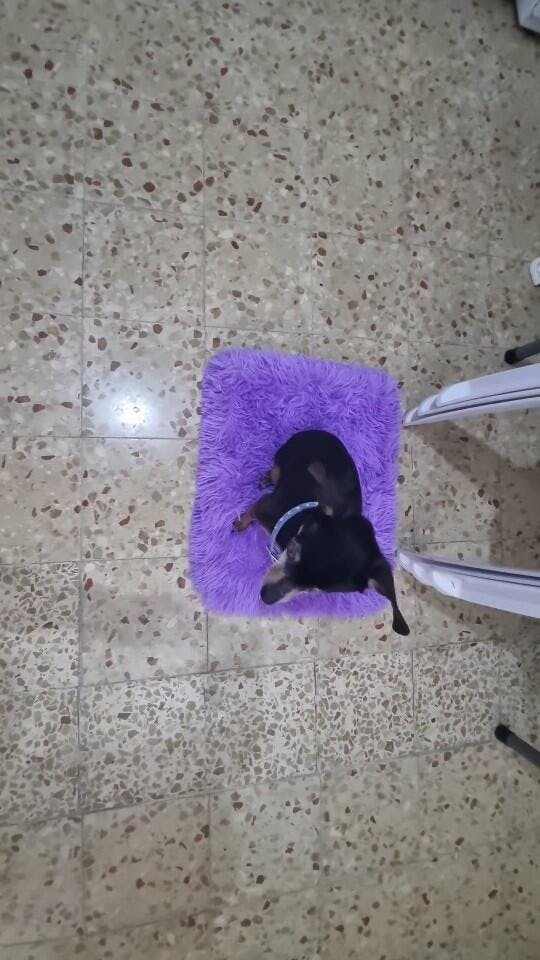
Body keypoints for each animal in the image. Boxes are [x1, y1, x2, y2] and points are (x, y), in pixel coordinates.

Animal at [232, 429, 410, 636]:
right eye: (291, 551)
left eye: (314, 590)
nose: (265, 597)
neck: (299, 521)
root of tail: (321, 432)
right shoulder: (263, 507)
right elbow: (250, 513)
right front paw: (240, 524)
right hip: (284, 454)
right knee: (276, 470)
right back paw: (269, 477)